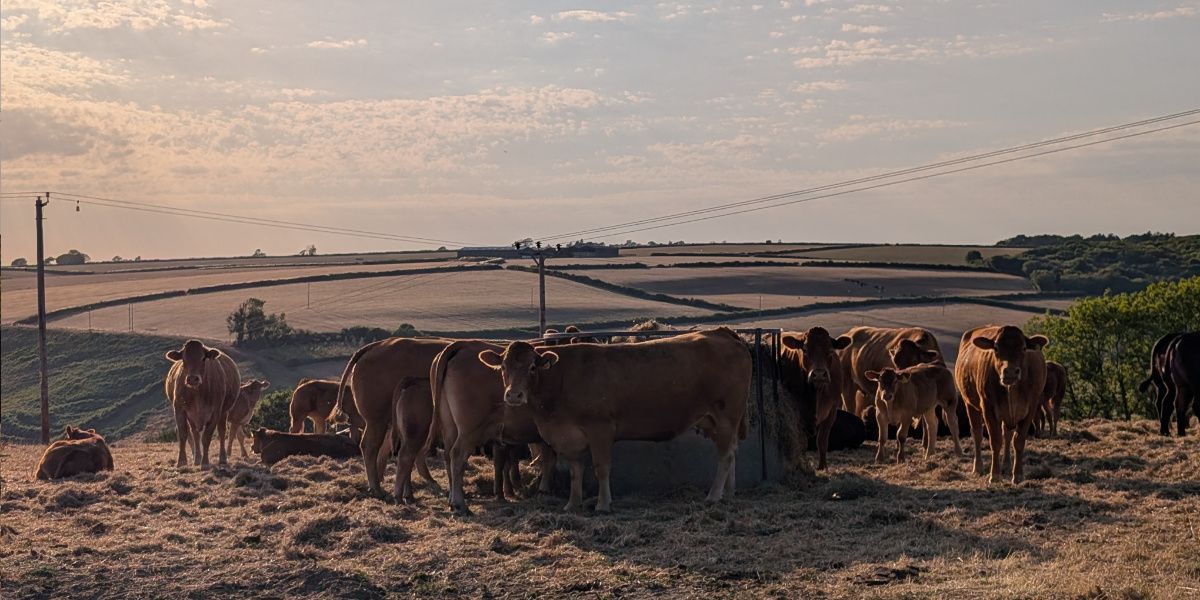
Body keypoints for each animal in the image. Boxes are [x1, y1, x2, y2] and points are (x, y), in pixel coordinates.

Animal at [433, 339, 555, 513]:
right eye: (503, 367)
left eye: (532, 367)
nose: (514, 395)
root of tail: (462, 344)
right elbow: (547, 458)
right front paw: (543, 490)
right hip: (468, 429)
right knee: (457, 455)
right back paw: (459, 503)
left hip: (450, 427)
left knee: (448, 456)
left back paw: (452, 500)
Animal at [479, 327, 751, 512]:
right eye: (503, 367)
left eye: (532, 367)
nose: (514, 395)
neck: (562, 380)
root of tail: (722, 333)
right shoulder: (569, 437)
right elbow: (576, 471)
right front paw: (573, 503)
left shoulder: (600, 429)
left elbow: (601, 468)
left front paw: (602, 504)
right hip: (714, 421)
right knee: (732, 452)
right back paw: (729, 492)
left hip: (726, 417)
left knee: (725, 455)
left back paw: (714, 495)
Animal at [781, 327, 853, 471]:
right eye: (805, 350)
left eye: (830, 351)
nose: (819, 374)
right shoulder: (799, 414)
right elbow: (802, 443)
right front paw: (803, 464)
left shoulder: (831, 411)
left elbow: (822, 441)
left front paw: (822, 467)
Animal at [955, 325, 1049, 484]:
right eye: (996, 348)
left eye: (1024, 348)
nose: (1010, 371)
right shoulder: (988, 409)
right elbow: (996, 441)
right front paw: (994, 475)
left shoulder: (1030, 409)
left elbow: (1018, 441)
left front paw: (1017, 475)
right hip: (970, 405)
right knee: (977, 433)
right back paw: (978, 467)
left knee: (1007, 434)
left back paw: (1007, 465)